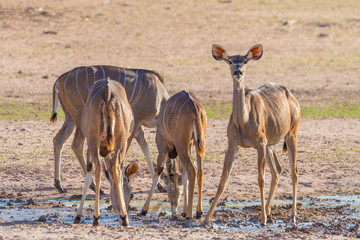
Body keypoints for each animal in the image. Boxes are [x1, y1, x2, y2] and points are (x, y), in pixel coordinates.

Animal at [50, 65, 169, 193]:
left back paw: (59, 185)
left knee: (58, 140)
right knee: (77, 145)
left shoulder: (137, 127)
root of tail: (59, 80)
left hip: (70, 119)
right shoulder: (136, 120)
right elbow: (127, 151)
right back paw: (93, 185)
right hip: (81, 120)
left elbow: (145, 147)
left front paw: (160, 186)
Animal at [73, 79, 134, 227]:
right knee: (115, 169)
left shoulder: (90, 147)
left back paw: (97, 217)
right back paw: (123, 218)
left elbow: (89, 172)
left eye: (131, 195)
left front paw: (78, 216)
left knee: (98, 169)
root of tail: (107, 95)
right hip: (120, 143)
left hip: (93, 141)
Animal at [141, 91, 208, 220]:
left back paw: (190, 215)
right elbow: (183, 173)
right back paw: (198, 211)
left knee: (192, 170)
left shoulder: (162, 148)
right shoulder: (189, 145)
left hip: (181, 146)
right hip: (198, 144)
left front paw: (143, 210)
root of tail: (195, 108)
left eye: (168, 190)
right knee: (200, 171)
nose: (174, 209)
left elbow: (158, 172)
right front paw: (184, 211)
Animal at [202, 44, 300, 226]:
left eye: (245, 61)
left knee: (293, 171)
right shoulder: (233, 144)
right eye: (230, 61)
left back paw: (292, 216)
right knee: (278, 170)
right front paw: (206, 219)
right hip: (270, 144)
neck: (244, 120)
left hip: (291, 134)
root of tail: (292, 98)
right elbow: (223, 180)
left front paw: (263, 219)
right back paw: (268, 210)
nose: (238, 72)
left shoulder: (259, 144)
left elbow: (260, 179)